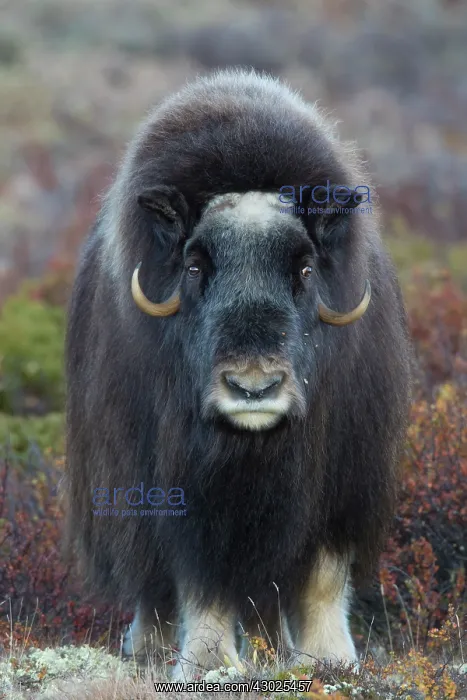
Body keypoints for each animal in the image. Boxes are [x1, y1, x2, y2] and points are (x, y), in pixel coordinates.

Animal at [64, 68, 412, 680]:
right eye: (195, 265)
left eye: (304, 268)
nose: (254, 388)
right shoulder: (178, 490)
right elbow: (199, 578)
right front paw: (205, 663)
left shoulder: (344, 475)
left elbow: (323, 573)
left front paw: (331, 661)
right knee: (155, 584)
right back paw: (150, 649)